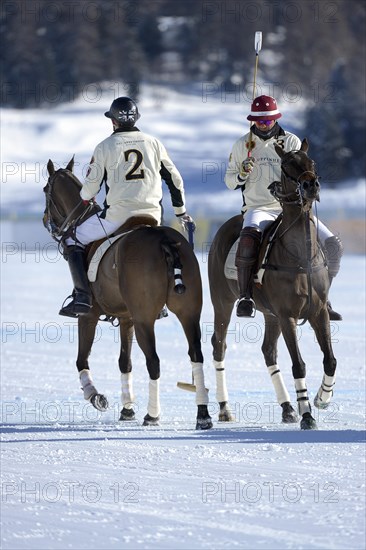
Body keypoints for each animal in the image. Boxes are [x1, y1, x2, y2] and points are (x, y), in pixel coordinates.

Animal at [44, 158, 213, 432]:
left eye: (45, 190)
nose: (46, 220)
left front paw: (96, 396)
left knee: (154, 361)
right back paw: (203, 415)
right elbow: (125, 362)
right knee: (196, 355)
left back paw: (152, 416)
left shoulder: (89, 315)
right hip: (188, 311)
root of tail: (165, 240)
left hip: (145, 318)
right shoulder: (126, 318)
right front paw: (127, 409)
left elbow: (81, 359)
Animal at [209, 139, 338, 432]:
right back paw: (224, 409)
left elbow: (330, 359)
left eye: (312, 162)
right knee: (219, 346)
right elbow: (299, 365)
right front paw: (308, 415)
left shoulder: (318, 312)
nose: (311, 185)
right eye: (287, 166)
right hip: (223, 302)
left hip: (270, 314)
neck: (301, 257)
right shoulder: (288, 314)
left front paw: (321, 399)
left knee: (268, 351)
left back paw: (288, 408)